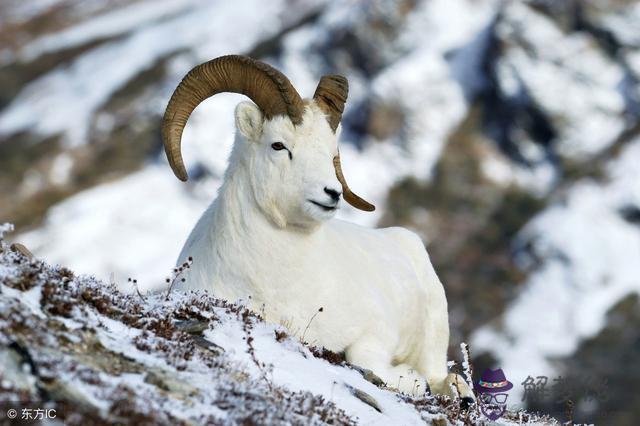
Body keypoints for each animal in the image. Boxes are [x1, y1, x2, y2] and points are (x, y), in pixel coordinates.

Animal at [164, 54, 476, 400]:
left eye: (331, 153)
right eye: (278, 145)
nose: (332, 193)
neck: (276, 285)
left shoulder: (376, 329)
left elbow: (361, 356)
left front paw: (411, 379)